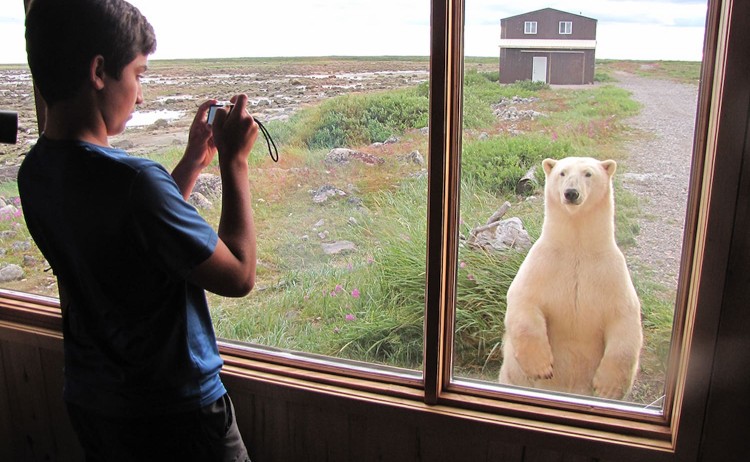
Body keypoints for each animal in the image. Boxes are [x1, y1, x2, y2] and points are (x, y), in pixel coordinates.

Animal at [498, 157, 643, 400]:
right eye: (562, 173)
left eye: (588, 173)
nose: (571, 193)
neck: (577, 247)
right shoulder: (543, 264)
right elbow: (525, 301)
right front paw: (542, 367)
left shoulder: (610, 273)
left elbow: (624, 320)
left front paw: (608, 387)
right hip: (512, 377)